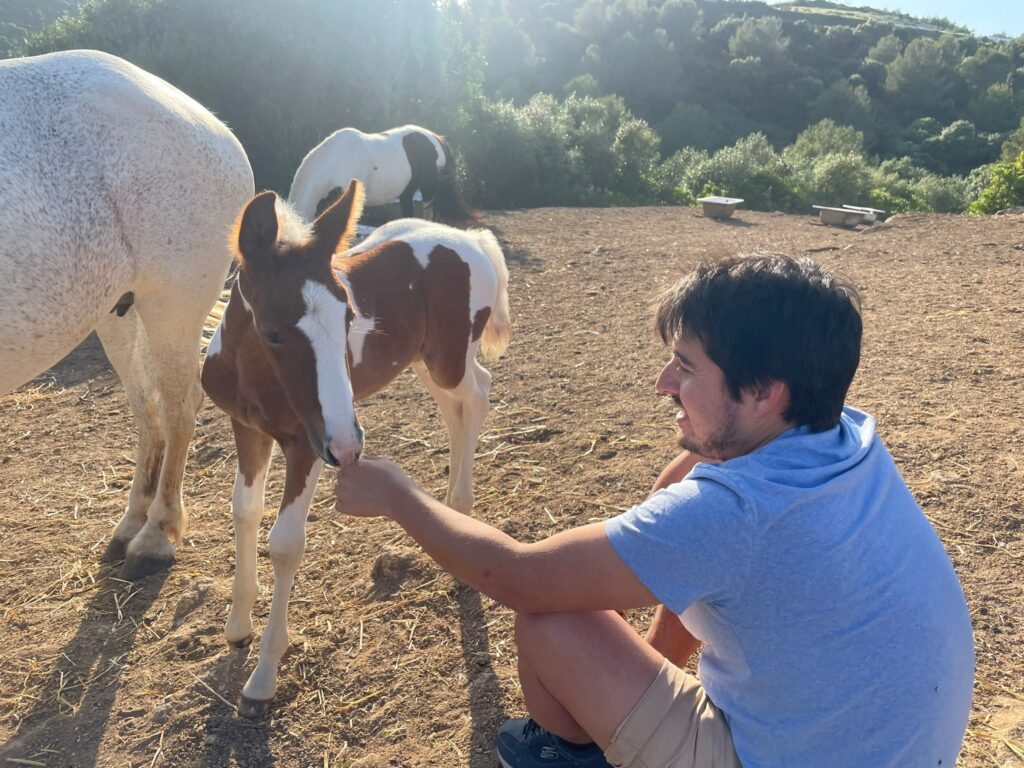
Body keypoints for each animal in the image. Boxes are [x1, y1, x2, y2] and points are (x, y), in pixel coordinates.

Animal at [0, 50, 254, 580]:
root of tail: (210, 124)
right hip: (118, 312)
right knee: (147, 409)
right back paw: (132, 522)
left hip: (171, 306)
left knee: (179, 410)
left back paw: (155, 536)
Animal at [201, 179, 510, 716]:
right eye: (273, 332)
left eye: (350, 316)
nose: (348, 447)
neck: (249, 370)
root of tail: (470, 239)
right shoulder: (247, 429)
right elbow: (243, 510)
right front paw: (237, 626)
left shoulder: (306, 443)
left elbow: (285, 544)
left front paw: (263, 675)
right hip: (422, 361)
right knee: (456, 411)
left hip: (448, 359)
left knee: (478, 395)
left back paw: (461, 506)